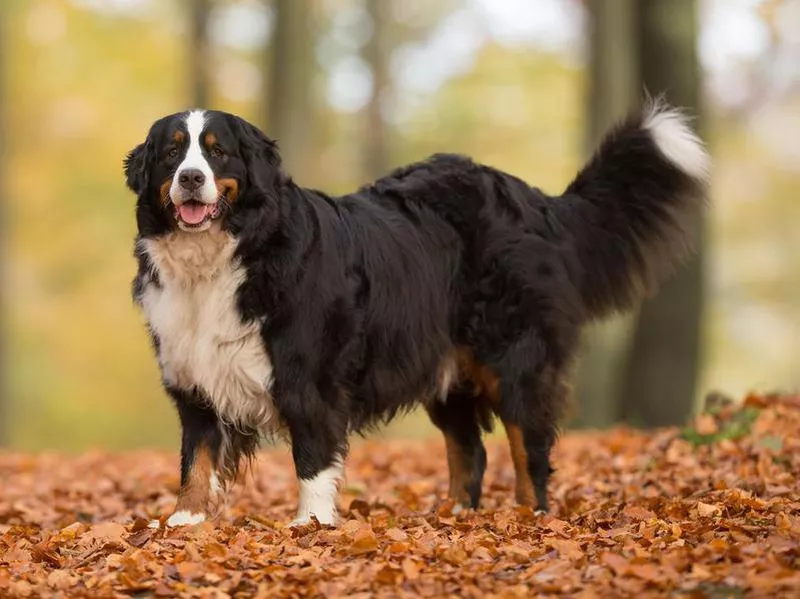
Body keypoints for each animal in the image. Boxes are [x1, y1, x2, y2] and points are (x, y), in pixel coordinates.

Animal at [126, 104, 712, 528]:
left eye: (218, 153)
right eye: (172, 153)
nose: (191, 179)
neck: (223, 259)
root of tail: (534, 200)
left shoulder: (308, 380)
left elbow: (312, 460)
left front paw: (309, 525)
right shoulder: (194, 376)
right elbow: (196, 457)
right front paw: (186, 520)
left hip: (513, 358)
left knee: (529, 444)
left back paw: (530, 515)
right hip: (447, 370)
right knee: (469, 450)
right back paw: (453, 515)